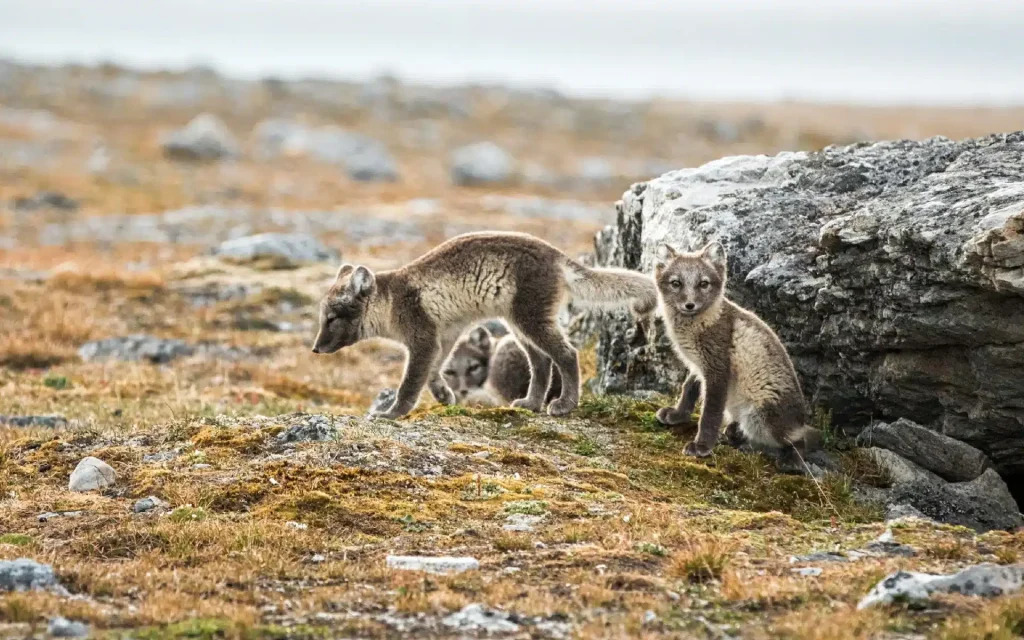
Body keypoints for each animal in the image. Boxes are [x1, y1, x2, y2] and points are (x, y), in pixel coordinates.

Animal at [311, 231, 656, 420]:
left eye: (331, 318)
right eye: (322, 317)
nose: (315, 349)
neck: (392, 300)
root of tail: (557, 256)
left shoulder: (422, 338)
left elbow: (410, 384)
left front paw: (391, 414)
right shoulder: (445, 335)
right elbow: (435, 371)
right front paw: (444, 396)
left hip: (530, 319)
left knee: (566, 354)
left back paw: (563, 405)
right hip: (518, 324)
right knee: (541, 362)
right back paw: (531, 403)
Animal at [653, 240, 820, 472]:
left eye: (703, 283)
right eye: (676, 283)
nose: (690, 305)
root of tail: (800, 421)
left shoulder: (717, 369)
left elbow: (710, 413)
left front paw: (702, 446)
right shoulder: (698, 366)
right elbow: (688, 390)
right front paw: (677, 415)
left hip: (761, 418)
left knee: (798, 439)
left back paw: (791, 460)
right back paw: (735, 432)